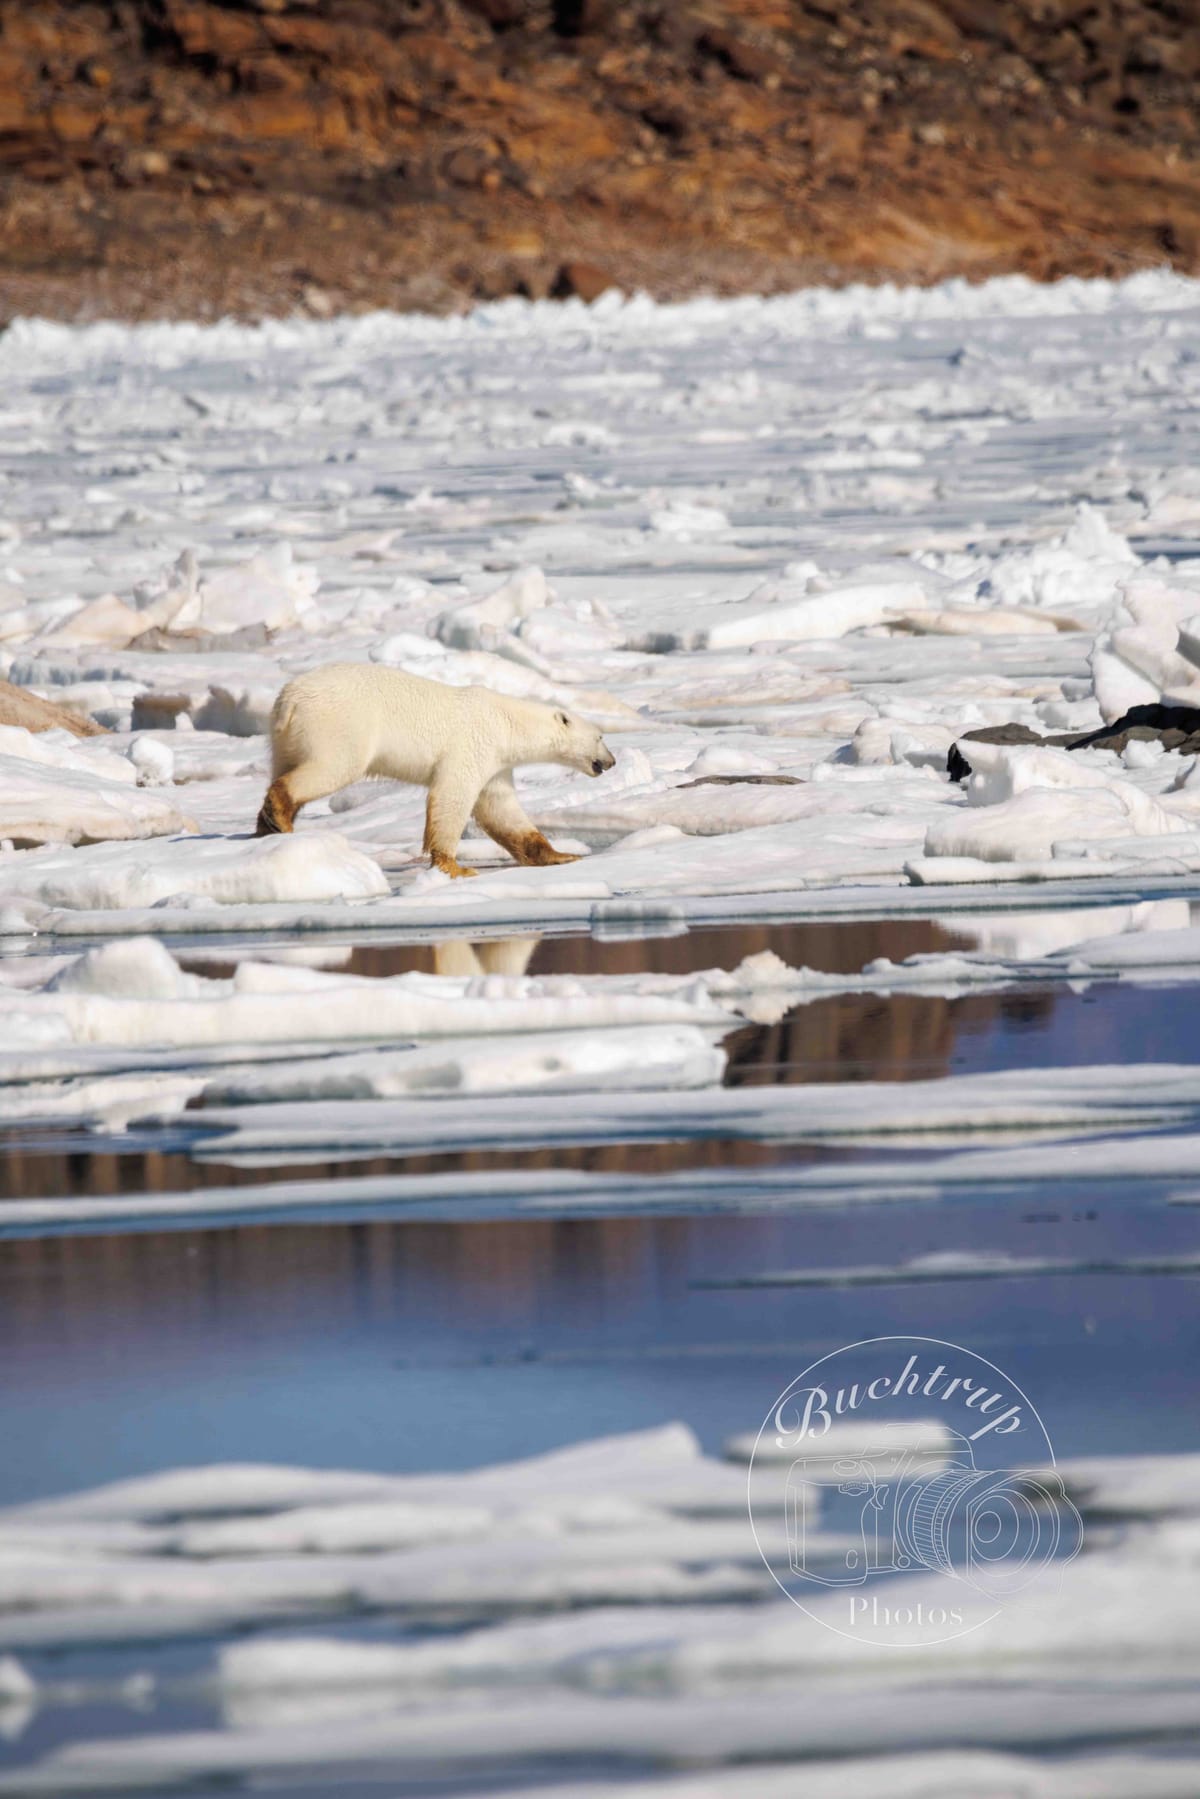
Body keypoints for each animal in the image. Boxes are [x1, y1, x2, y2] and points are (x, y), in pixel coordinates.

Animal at [255, 662, 615, 878]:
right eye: (600, 736)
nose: (611, 761)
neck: (508, 723)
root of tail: (289, 700)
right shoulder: (474, 744)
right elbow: (452, 797)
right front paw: (455, 868)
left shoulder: (496, 764)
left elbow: (501, 810)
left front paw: (562, 855)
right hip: (339, 724)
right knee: (333, 766)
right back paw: (280, 816)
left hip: (284, 737)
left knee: (285, 765)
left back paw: (267, 826)